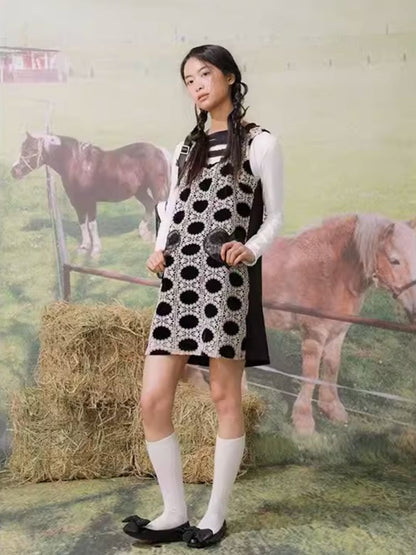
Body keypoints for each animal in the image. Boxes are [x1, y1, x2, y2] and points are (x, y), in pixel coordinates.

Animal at [11, 132, 171, 256]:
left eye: (30, 150)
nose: (14, 171)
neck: (77, 164)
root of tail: (159, 150)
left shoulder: (91, 202)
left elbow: (92, 224)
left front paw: (95, 250)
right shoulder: (77, 202)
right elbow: (83, 223)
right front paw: (84, 247)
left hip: (157, 190)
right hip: (140, 191)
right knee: (149, 205)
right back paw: (144, 233)